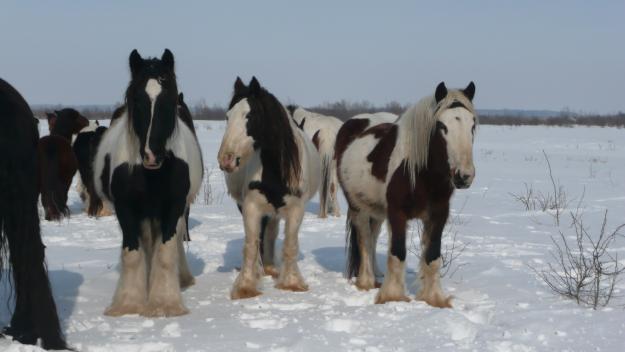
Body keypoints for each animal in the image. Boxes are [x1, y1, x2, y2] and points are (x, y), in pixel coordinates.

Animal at [92, 48, 202, 316]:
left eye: (168, 101)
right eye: (137, 100)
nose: (152, 155)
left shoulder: (173, 206)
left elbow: (166, 252)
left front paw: (164, 304)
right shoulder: (126, 208)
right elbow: (132, 254)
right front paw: (128, 304)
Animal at [217, 76, 320, 296]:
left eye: (250, 115)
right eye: (227, 116)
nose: (226, 159)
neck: (276, 169)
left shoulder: (296, 209)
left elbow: (290, 245)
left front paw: (291, 283)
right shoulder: (251, 206)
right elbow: (251, 244)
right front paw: (246, 286)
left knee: (271, 233)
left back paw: (271, 268)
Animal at [336, 81, 478, 306]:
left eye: (472, 125)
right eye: (442, 126)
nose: (464, 175)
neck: (422, 174)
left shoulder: (438, 214)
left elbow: (432, 256)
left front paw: (434, 298)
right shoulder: (397, 213)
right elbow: (398, 252)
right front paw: (392, 297)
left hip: (377, 211)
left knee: (372, 237)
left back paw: (377, 275)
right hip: (358, 207)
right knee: (364, 240)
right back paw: (366, 281)